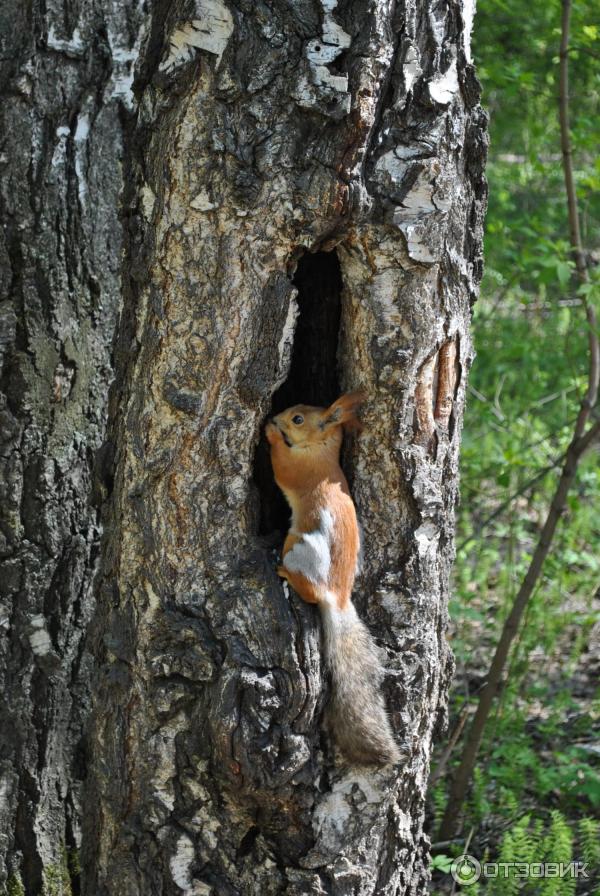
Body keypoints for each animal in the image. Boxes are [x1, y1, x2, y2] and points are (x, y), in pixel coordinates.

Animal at [266, 390, 398, 764]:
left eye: (298, 419)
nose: (276, 416)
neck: (323, 453)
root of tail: (337, 597)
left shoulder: (300, 470)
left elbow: (281, 466)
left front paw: (270, 434)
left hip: (300, 549)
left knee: (308, 589)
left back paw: (284, 572)